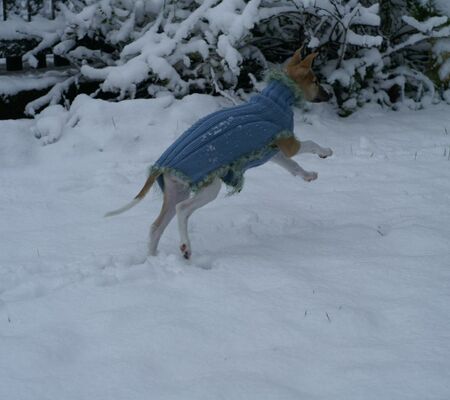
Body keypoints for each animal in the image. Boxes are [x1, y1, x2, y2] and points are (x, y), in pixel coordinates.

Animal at [105, 50, 333, 259]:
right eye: (315, 81)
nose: (330, 95)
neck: (276, 98)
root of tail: (161, 165)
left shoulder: (273, 152)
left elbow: (293, 167)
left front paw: (309, 175)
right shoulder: (289, 143)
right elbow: (311, 144)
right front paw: (326, 151)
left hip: (175, 190)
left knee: (156, 226)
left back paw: (153, 257)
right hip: (208, 186)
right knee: (182, 210)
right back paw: (186, 247)